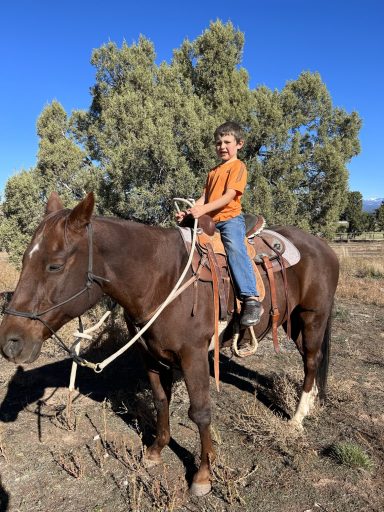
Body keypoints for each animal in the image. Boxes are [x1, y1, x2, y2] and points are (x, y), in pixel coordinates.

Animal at [0, 193, 340, 496]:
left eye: (55, 265)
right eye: (25, 259)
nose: (11, 342)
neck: (161, 279)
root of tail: (323, 246)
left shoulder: (193, 356)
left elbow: (200, 412)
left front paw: (203, 475)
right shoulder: (148, 355)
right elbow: (161, 400)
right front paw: (155, 450)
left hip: (312, 317)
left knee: (311, 360)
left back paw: (297, 419)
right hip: (292, 321)